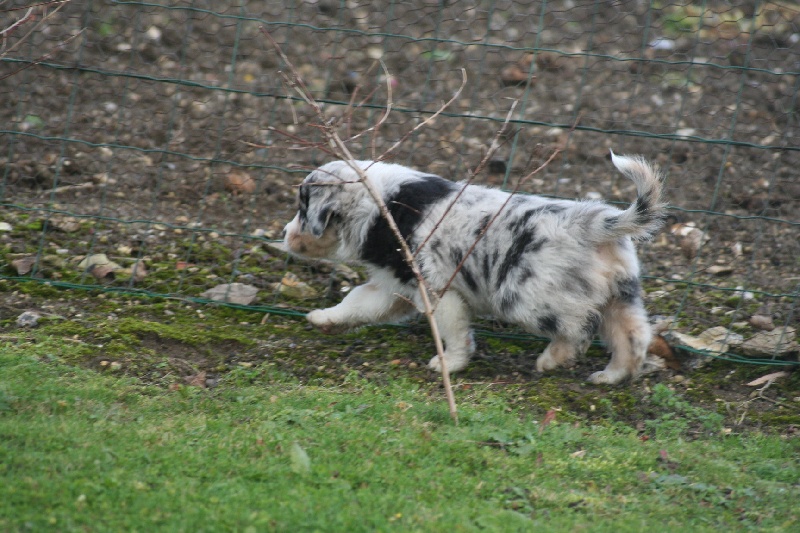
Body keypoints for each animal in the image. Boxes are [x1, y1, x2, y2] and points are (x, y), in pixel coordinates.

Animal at [283, 153, 666, 384]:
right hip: (621, 295)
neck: (378, 206)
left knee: (577, 330)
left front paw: (449, 364)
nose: (284, 235)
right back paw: (611, 376)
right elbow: (356, 302)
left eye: (302, 209)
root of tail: (595, 224)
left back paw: (552, 359)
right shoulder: (395, 284)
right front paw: (322, 318)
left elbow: (452, 333)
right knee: (633, 337)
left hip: (527, 297)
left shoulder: (438, 290)